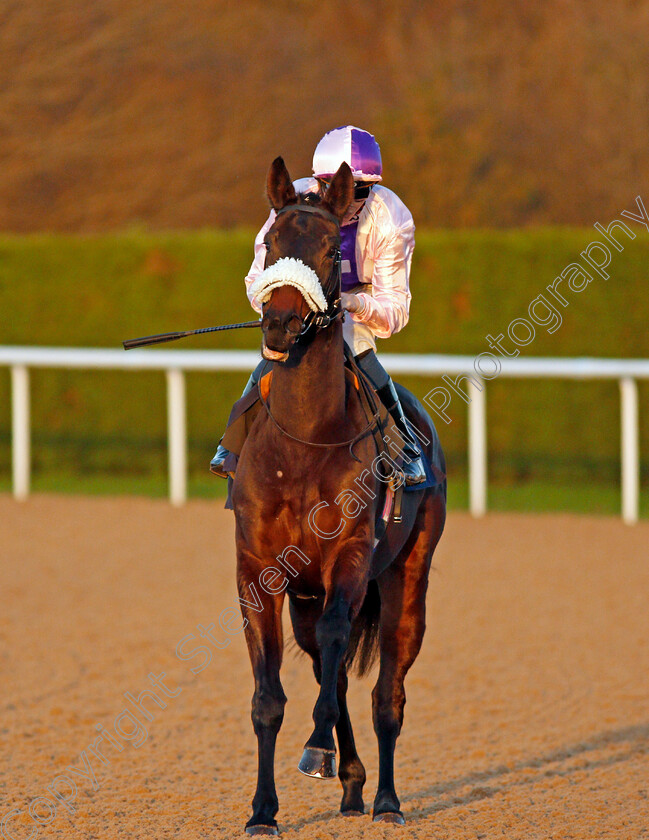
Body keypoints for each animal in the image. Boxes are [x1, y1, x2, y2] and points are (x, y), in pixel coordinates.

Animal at [229, 158, 446, 832]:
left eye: (330, 250)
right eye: (270, 242)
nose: (280, 323)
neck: (305, 439)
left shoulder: (349, 558)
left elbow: (337, 654)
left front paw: (317, 749)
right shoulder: (259, 569)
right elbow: (268, 696)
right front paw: (263, 810)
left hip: (407, 578)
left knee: (385, 692)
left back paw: (385, 799)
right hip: (304, 595)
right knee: (336, 669)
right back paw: (350, 781)